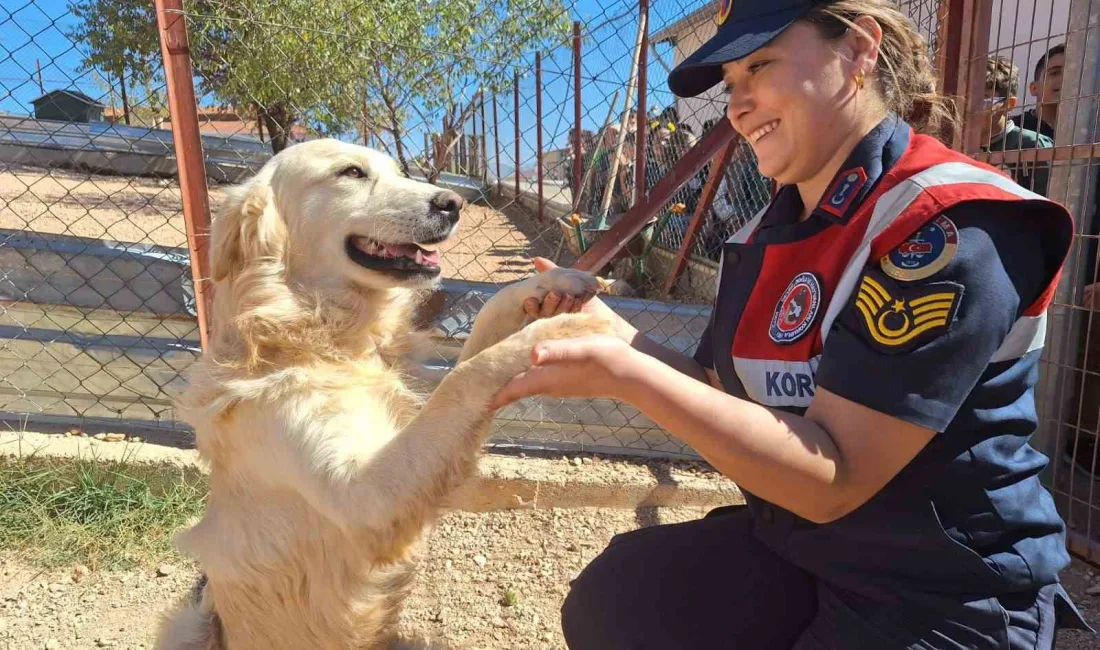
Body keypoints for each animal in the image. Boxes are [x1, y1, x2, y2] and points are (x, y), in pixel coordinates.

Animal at [157, 139, 611, 646]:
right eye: (351, 172)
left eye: (396, 170)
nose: (454, 203)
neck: (327, 336)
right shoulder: (364, 497)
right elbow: (466, 376)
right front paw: (560, 329)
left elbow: (481, 332)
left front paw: (554, 285)